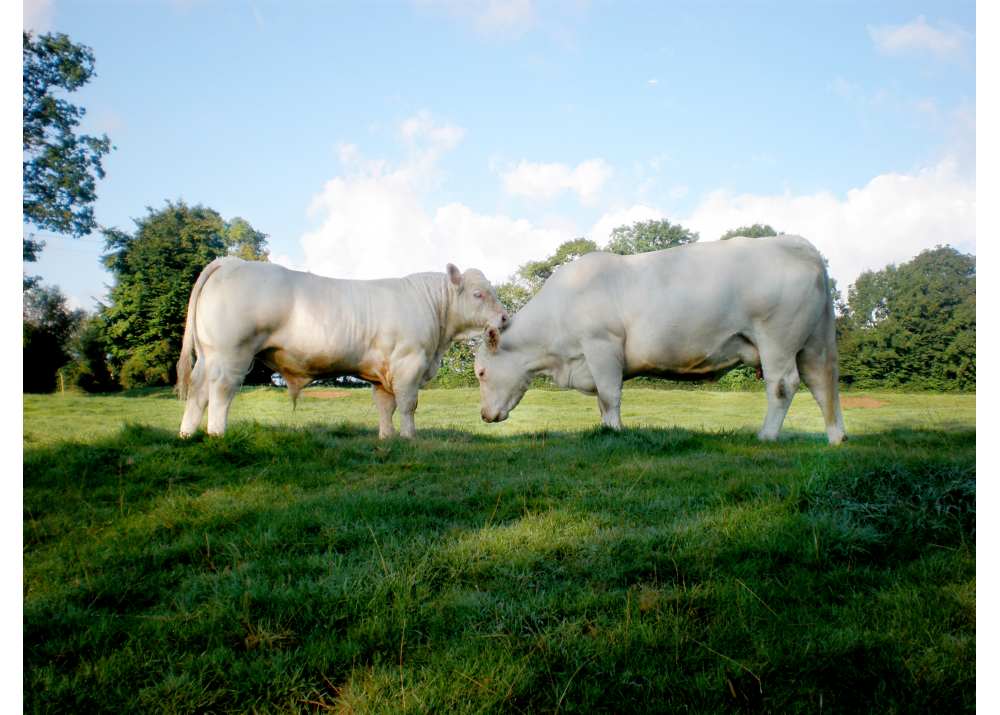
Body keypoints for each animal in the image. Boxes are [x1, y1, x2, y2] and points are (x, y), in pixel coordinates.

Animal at [176, 255, 508, 440]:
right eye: (478, 294)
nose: (504, 318)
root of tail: (232, 261)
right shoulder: (408, 362)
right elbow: (407, 404)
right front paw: (410, 437)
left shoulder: (383, 371)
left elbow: (385, 405)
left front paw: (387, 438)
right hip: (233, 351)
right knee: (221, 389)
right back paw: (217, 434)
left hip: (209, 354)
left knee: (198, 390)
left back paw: (186, 434)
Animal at [474, 235, 844, 444]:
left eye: (480, 372)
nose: (483, 415)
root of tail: (800, 244)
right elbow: (602, 401)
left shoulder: (601, 345)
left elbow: (608, 396)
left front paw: (614, 432)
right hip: (811, 341)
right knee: (821, 384)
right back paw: (836, 438)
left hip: (777, 338)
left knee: (782, 385)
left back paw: (766, 436)